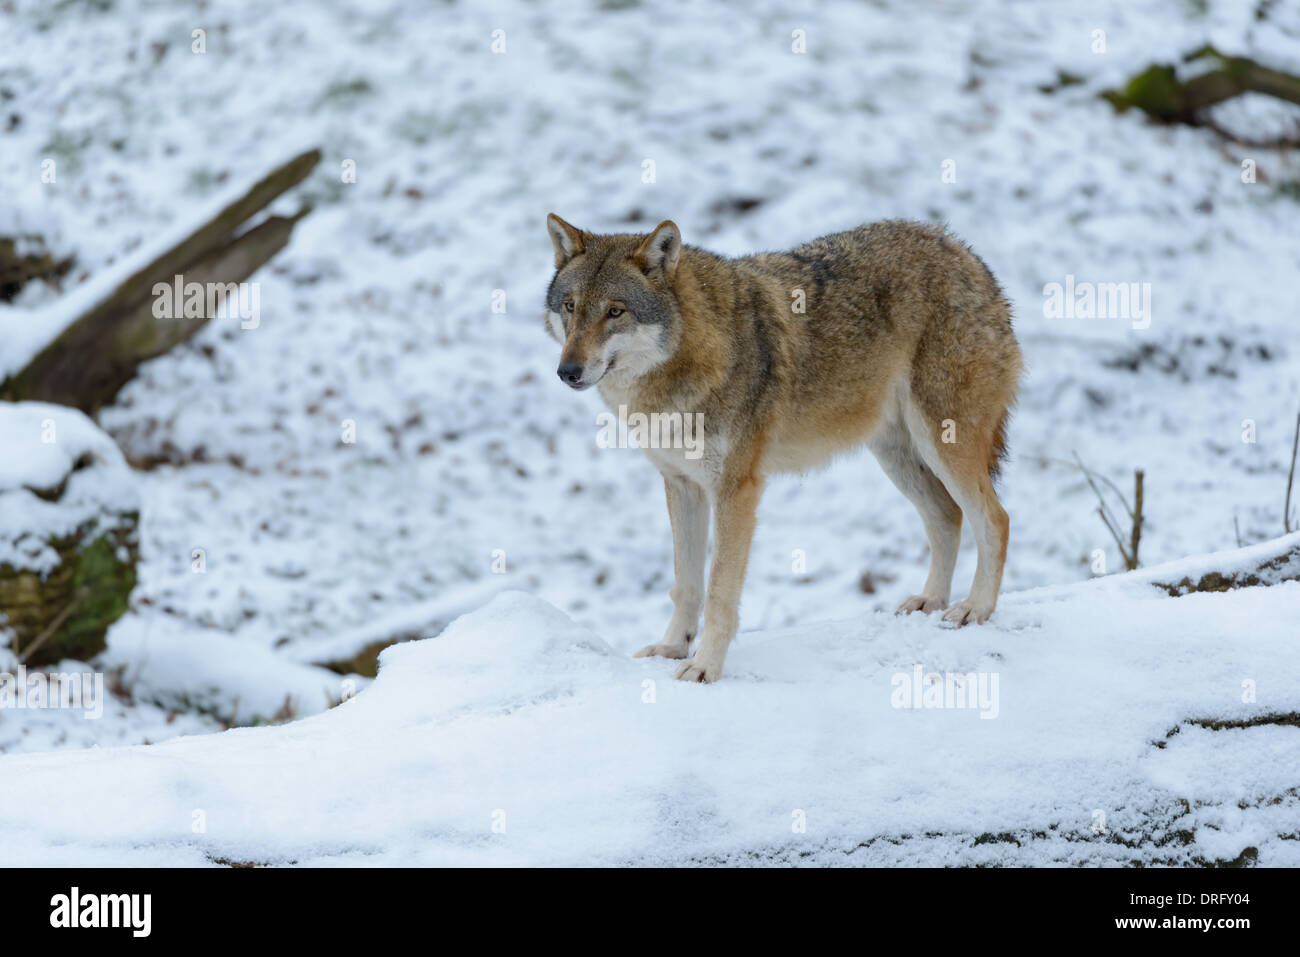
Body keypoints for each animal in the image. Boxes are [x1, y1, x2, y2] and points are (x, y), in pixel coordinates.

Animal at [544, 214, 1023, 682]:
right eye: (570, 307)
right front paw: (671, 647)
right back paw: (930, 602)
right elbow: (687, 585)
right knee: (947, 516)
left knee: (995, 519)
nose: (567, 371)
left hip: (942, 443)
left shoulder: (736, 490)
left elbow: (718, 590)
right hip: (896, 456)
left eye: (615, 311)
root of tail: (962, 249)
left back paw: (975, 608)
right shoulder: (682, 485)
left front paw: (704, 667)